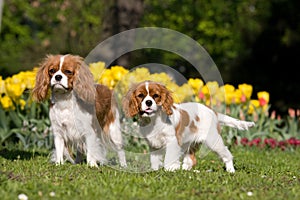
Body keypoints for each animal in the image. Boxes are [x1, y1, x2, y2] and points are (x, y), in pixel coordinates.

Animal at [123, 80, 254, 173]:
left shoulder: (172, 141)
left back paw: (231, 170)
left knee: (226, 153)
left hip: (213, 140)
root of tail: (213, 111)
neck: (154, 120)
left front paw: (170, 169)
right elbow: (155, 159)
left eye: (155, 96)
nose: (149, 102)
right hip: (190, 144)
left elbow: (169, 157)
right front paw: (155, 170)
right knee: (190, 160)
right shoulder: (153, 144)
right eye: (140, 96)